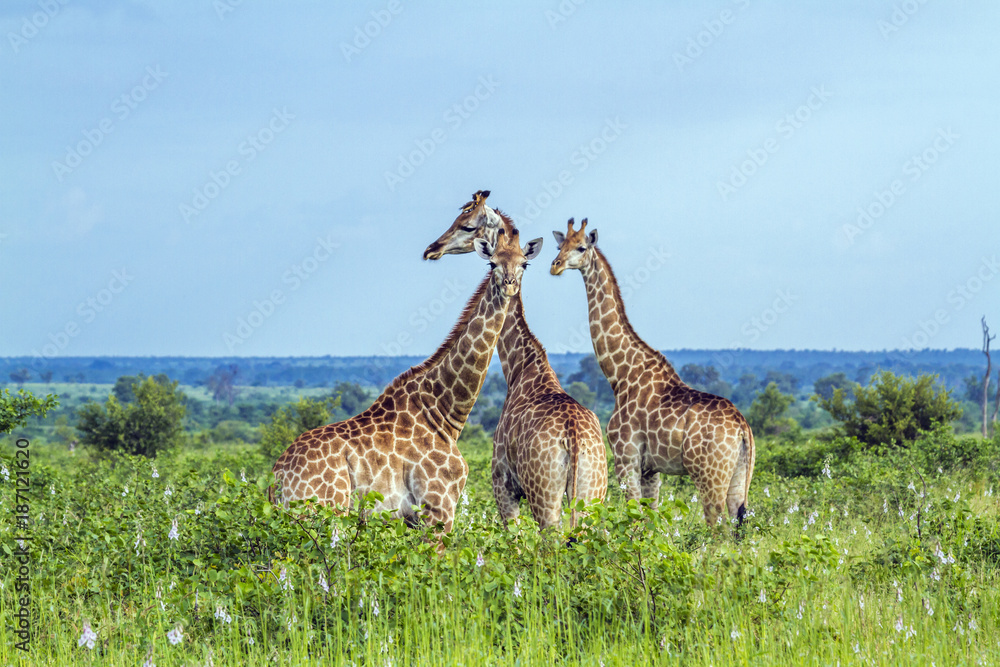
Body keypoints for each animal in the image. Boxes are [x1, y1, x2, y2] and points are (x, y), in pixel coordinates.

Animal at [271, 227, 542, 538]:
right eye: (492, 263)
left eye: (524, 264)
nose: (509, 285)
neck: (444, 413)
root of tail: (277, 477)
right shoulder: (438, 507)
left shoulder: (411, 519)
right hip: (321, 513)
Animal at [423, 191, 607, 530]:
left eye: (467, 225)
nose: (433, 249)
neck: (521, 367)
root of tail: (573, 438)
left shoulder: (503, 485)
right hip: (593, 494)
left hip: (544, 497)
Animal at [550, 218, 755, 527]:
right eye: (559, 245)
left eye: (581, 247)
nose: (555, 265)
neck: (621, 375)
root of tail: (743, 428)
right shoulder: (651, 469)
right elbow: (650, 520)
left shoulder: (626, 457)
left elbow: (634, 518)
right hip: (740, 476)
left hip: (709, 475)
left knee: (718, 526)